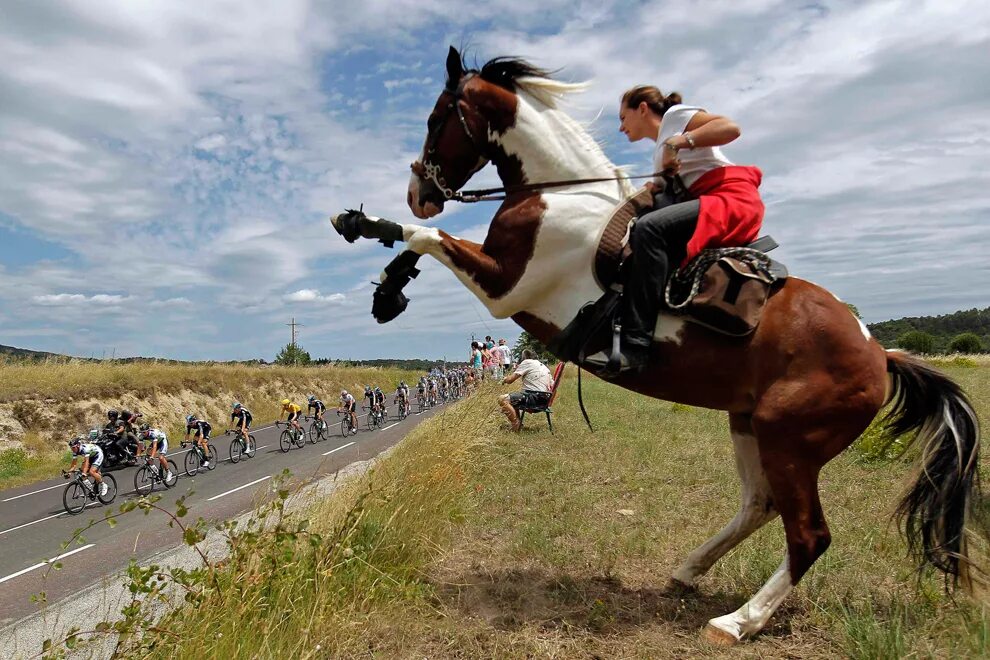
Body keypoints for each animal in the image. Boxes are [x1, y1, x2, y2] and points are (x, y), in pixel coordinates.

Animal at [330, 47, 980, 644]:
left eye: (437, 116)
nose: (418, 190)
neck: (559, 194)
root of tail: (880, 355)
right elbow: (423, 240)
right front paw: (383, 278)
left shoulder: (503, 286)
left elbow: (428, 236)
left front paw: (374, 241)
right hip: (749, 423)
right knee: (759, 506)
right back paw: (688, 570)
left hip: (790, 439)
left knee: (808, 536)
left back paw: (738, 621)